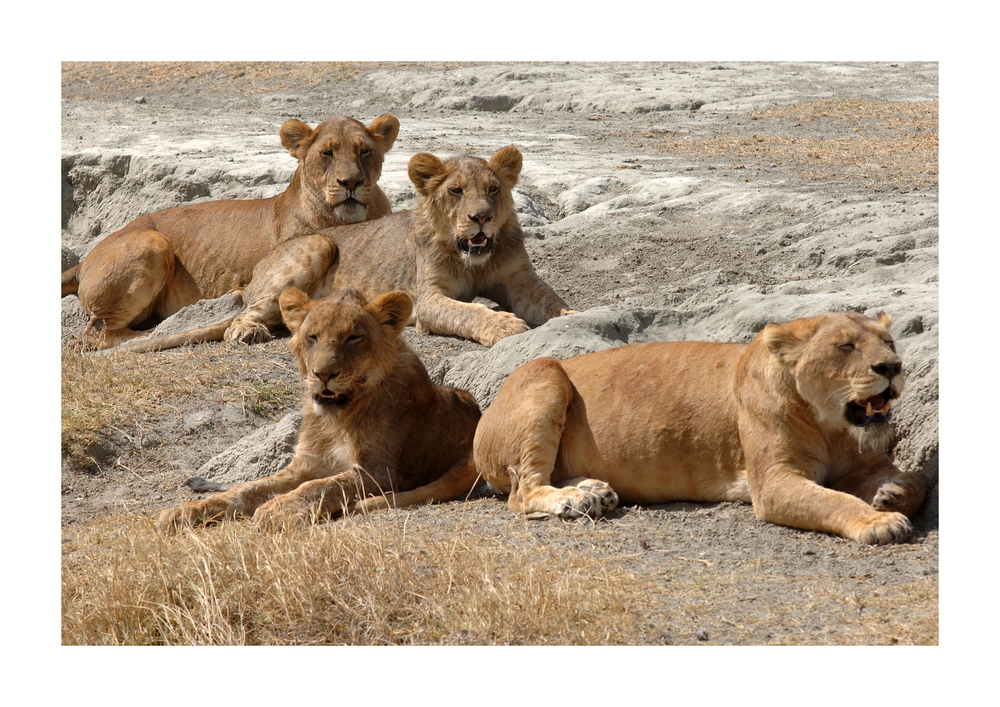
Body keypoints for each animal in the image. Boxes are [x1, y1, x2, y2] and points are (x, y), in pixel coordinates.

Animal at [59, 115, 398, 350]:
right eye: (327, 153)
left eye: (365, 151)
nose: (351, 182)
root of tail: (84, 260)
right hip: (151, 242)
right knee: (97, 332)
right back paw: (165, 328)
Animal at [110, 145, 576, 354]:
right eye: (457, 192)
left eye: (493, 190)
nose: (481, 217)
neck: (475, 258)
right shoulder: (428, 299)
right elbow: (468, 312)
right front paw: (506, 327)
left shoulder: (519, 279)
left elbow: (552, 302)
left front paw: (573, 319)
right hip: (316, 242)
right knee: (245, 314)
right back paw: (250, 330)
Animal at [157, 288, 484, 532]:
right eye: (312, 337)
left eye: (354, 337)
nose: (323, 374)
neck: (336, 419)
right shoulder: (306, 464)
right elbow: (248, 489)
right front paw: (186, 512)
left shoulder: (377, 473)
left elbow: (322, 486)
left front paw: (277, 509)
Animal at [472, 312, 924, 548]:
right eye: (846, 347)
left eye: (889, 342)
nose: (893, 367)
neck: (832, 425)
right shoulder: (772, 483)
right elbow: (835, 500)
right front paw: (879, 522)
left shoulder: (865, 460)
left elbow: (918, 482)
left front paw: (891, 495)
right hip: (544, 371)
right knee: (522, 491)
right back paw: (574, 500)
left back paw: (595, 492)